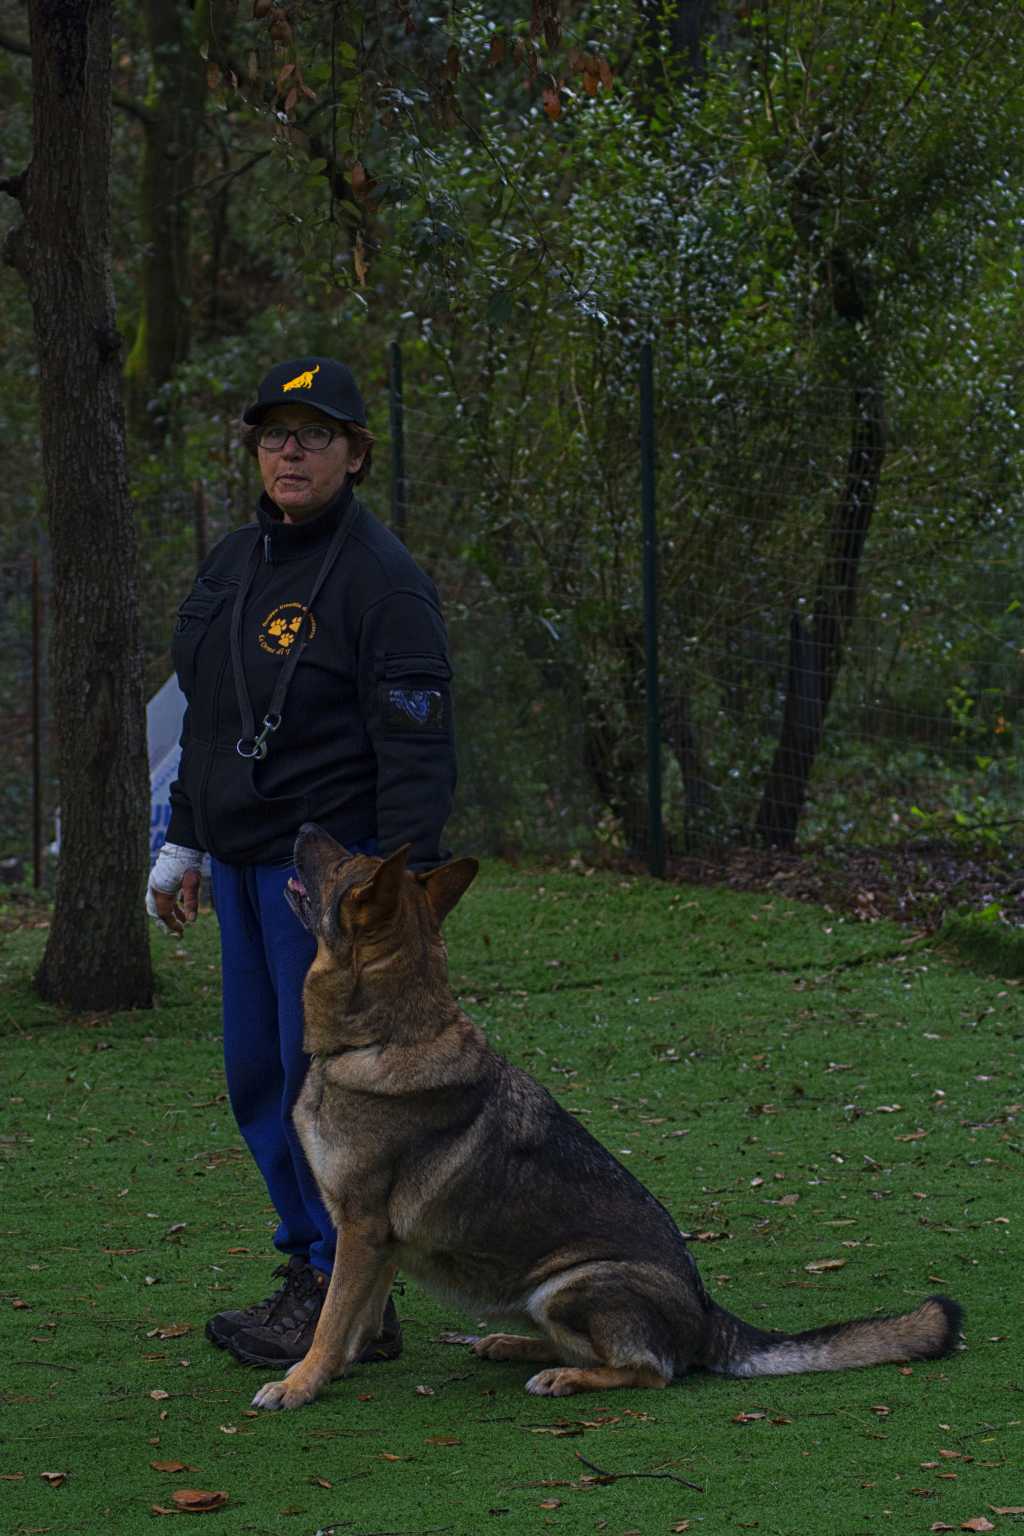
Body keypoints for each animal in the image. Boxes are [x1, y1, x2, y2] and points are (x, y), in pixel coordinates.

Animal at [251, 829, 964, 1406]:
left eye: (345, 861)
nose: (303, 823)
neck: (384, 1038)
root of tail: (708, 1314)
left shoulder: (363, 1229)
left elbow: (333, 1318)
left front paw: (301, 1382)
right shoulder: (375, 1240)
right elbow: (359, 1317)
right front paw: (335, 1369)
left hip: (569, 1284)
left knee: (650, 1372)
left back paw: (564, 1377)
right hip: (541, 1297)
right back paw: (516, 1347)